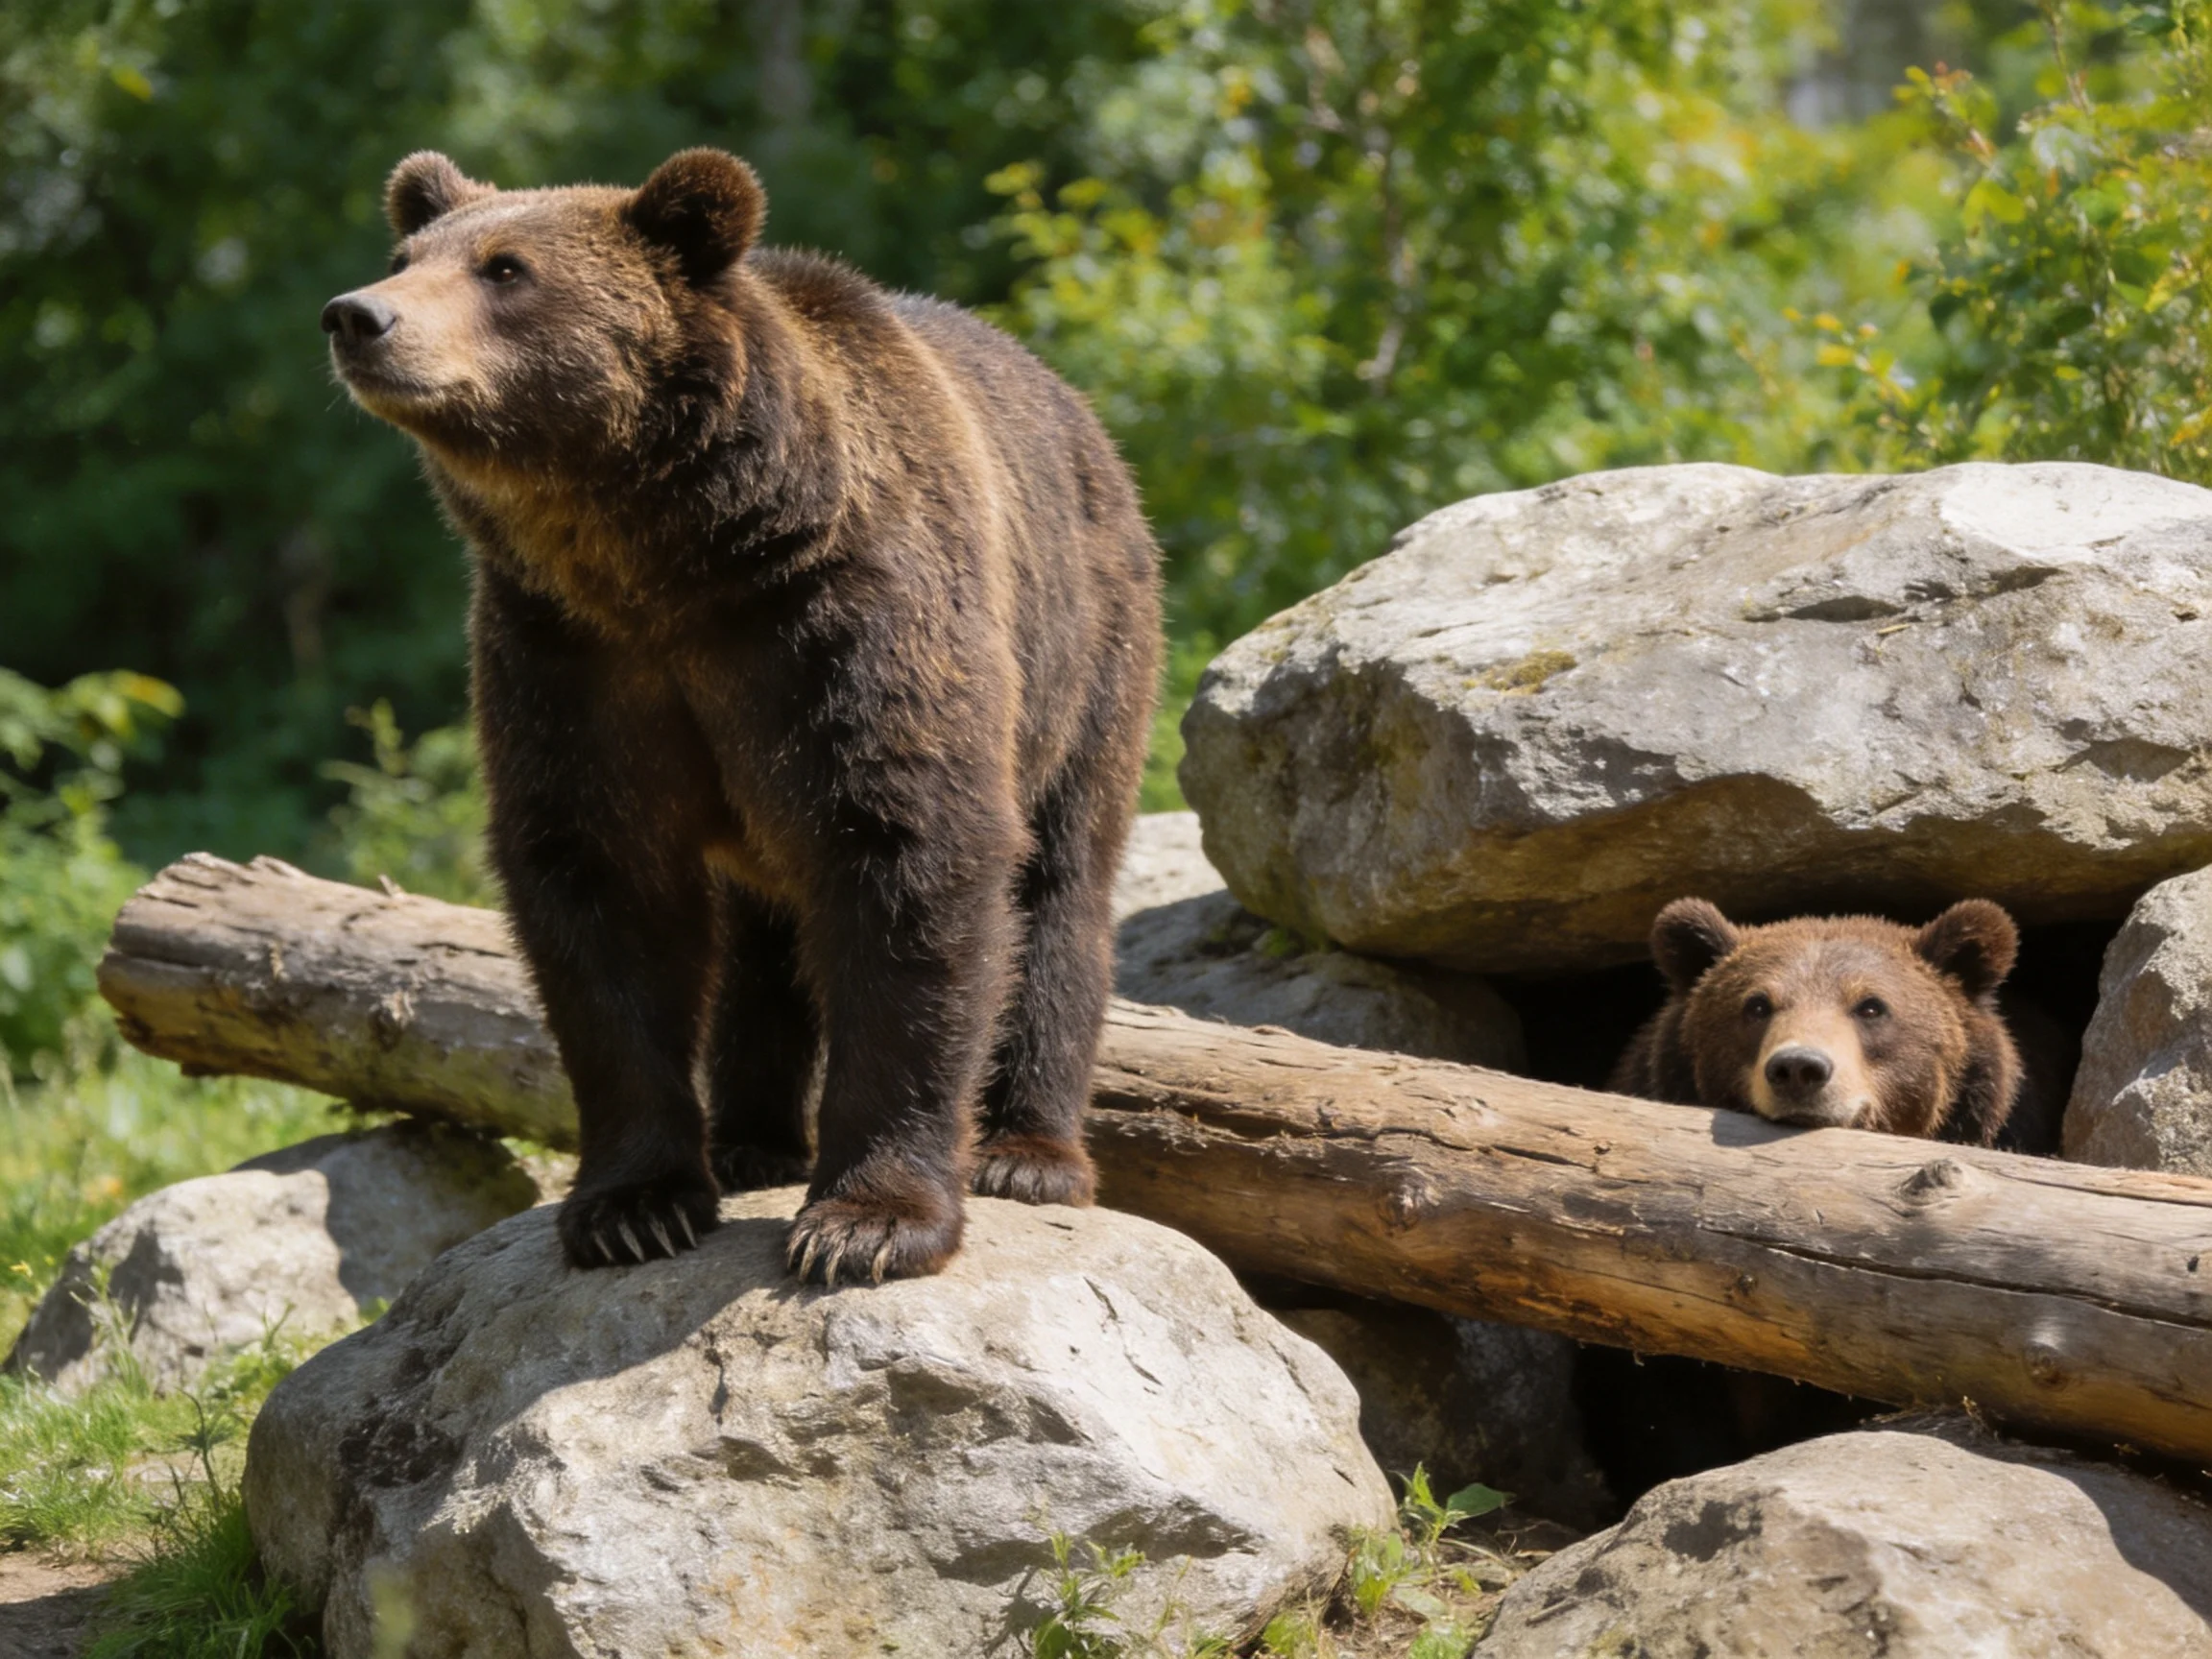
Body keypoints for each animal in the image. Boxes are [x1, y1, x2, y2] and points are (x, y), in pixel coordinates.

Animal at [320, 148, 1162, 1284]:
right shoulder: (567, 658)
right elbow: (600, 891)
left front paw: (869, 1222)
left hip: (1086, 654)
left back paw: (1029, 1152)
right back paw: (752, 1137)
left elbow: (913, 860)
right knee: (761, 938)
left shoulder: (844, 622)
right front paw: (634, 1207)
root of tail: (1087, 421)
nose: (357, 315)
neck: (666, 555)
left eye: (505, 268)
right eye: (408, 254)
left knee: (1060, 890)